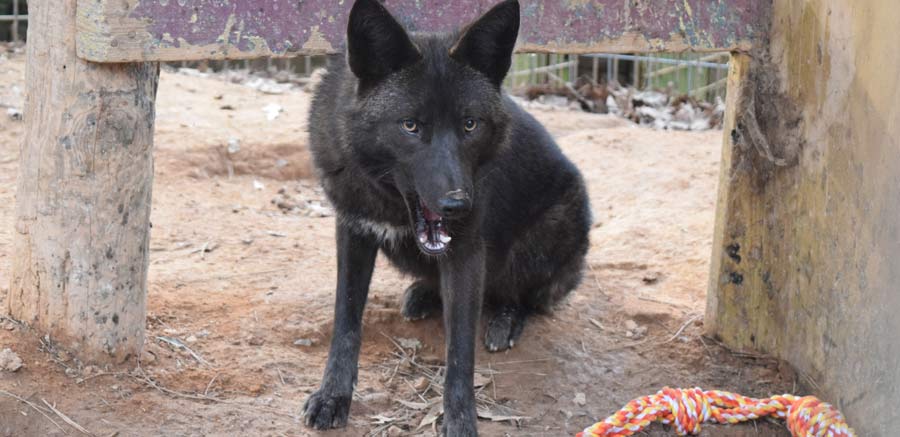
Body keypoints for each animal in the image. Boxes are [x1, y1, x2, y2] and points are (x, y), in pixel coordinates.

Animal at [304, 0, 592, 432]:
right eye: (410, 125)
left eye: (470, 124)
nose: (458, 205)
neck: (391, 204)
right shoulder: (353, 230)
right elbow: (346, 321)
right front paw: (333, 396)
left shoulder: (467, 251)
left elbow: (460, 350)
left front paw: (460, 421)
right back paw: (424, 294)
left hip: (555, 227)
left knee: (527, 296)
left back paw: (505, 320)